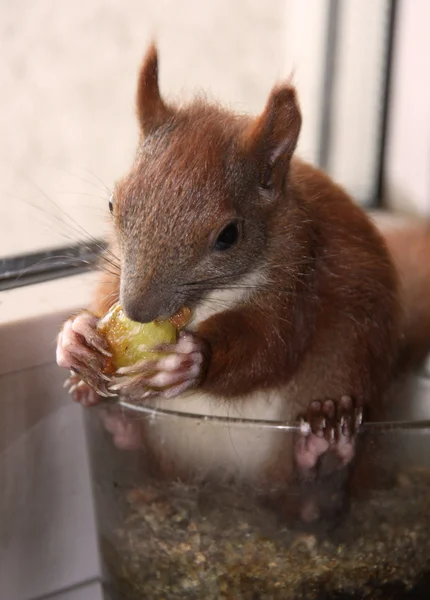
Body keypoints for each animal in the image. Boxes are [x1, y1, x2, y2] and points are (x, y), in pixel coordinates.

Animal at [56, 45, 430, 524]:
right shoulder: (115, 270)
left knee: (306, 502)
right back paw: (111, 416)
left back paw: (324, 446)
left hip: (342, 370)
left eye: (229, 235)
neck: (207, 305)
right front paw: (75, 336)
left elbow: (271, 346)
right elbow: (106, 292)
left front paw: (192, 361)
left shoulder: (299, 278)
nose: (138, 311)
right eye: (113, 203)